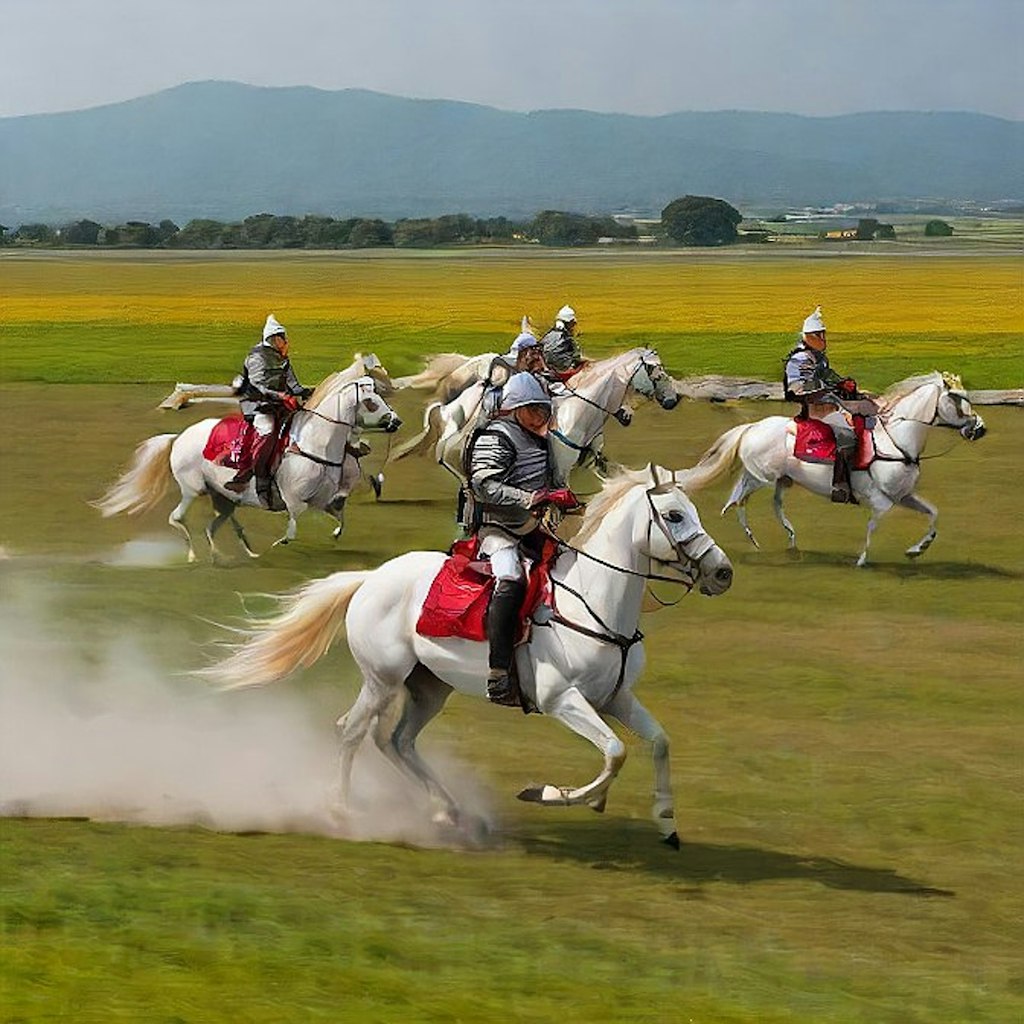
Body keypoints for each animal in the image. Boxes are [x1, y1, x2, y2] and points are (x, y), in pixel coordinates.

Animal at [93, 360, 399, 561]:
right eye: (371, 402)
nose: (396, 421)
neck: (315, 444)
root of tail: (178, 437)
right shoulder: (295, 500)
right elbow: (292, 528)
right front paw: (278, 544)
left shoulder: (325, 500)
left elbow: (340, 518)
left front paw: (334, 533)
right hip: (193, 490)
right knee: (178, 518)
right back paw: (196, 555)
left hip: (221, 495)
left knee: (216, 523)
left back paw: (230, 552)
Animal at [203, 468, 733, 843]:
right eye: (675, 515)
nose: (722, 572)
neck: (595, 604)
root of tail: (370, 578)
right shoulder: (562, 700)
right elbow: (615, 752)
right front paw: (552, 793)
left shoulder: (617, 698)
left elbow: (657, 743)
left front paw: (665, 822)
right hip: (383, 679)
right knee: (353, 731)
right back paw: (340, 810)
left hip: (428, 687)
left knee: (396, 740)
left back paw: (449, 810)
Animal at [391, 348, 679, 483]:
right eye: (656, 372)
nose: (673, 400)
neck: (582, 410)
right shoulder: (560, 467)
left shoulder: (592, 455)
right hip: (456, 433)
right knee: (442, 454)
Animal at [679, 374, 983, 569]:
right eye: (956, 398)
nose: (979, 429)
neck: (897, 441)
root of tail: (752, 427)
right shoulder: (882, 502)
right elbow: (873, 526)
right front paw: (862, 560)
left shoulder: (904, 496)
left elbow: (933, 514)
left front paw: (917, 550)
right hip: (763, 477)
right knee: (739, 498)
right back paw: (752, 536)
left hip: (780, 480)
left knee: (766, 502)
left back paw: (787, 540)